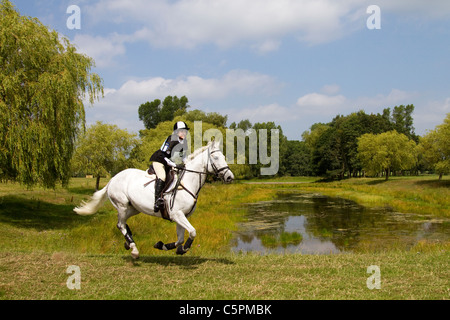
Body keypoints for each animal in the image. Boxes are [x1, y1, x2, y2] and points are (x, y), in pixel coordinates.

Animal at [73, 141, 236, 258]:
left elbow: (180, 239)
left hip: (134, 208)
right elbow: (193, 232)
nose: (230, 177)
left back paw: (128, 243)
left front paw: (163, 246)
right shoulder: (177, 215)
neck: (187, 183)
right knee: (120, 225)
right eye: (216, 157)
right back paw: (133, 249)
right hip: (122, 205)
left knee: (123, 224)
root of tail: (113, 178)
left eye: (224, 157)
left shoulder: (182, 216)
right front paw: (184, 249)